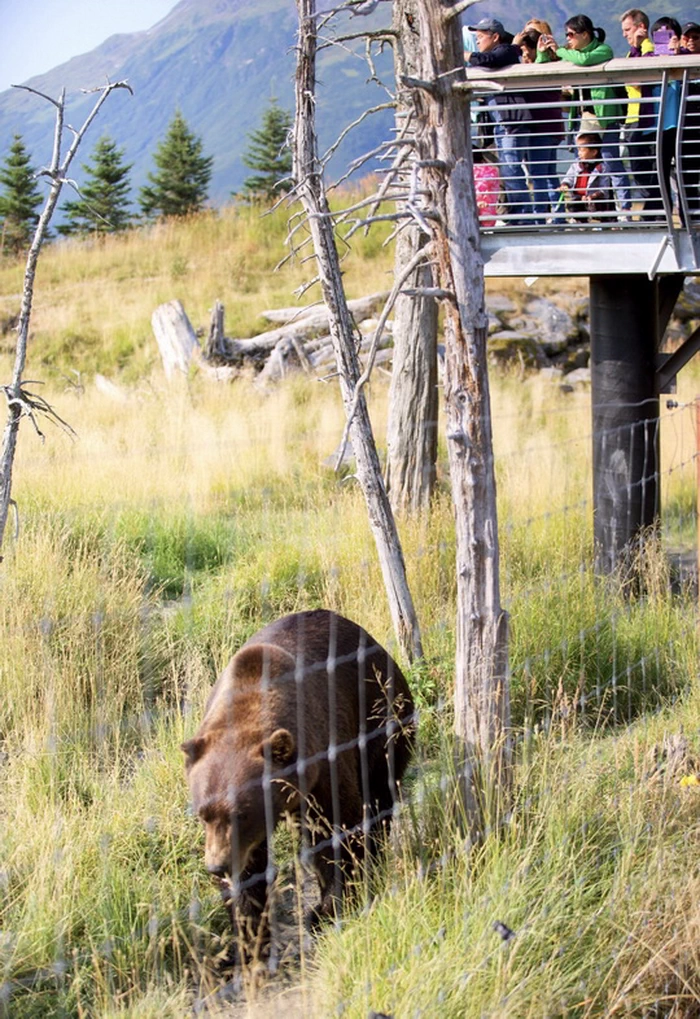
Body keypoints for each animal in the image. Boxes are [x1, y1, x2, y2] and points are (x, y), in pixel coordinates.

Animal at [180, 611, 413, 953]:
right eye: (202, 814)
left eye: (241, 814)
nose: (216, 866)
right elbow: (250, 868)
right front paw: (248, 934)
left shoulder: (322, 762)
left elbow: (336, 827)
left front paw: (329, 907)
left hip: (382, 716)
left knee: (379, 793)